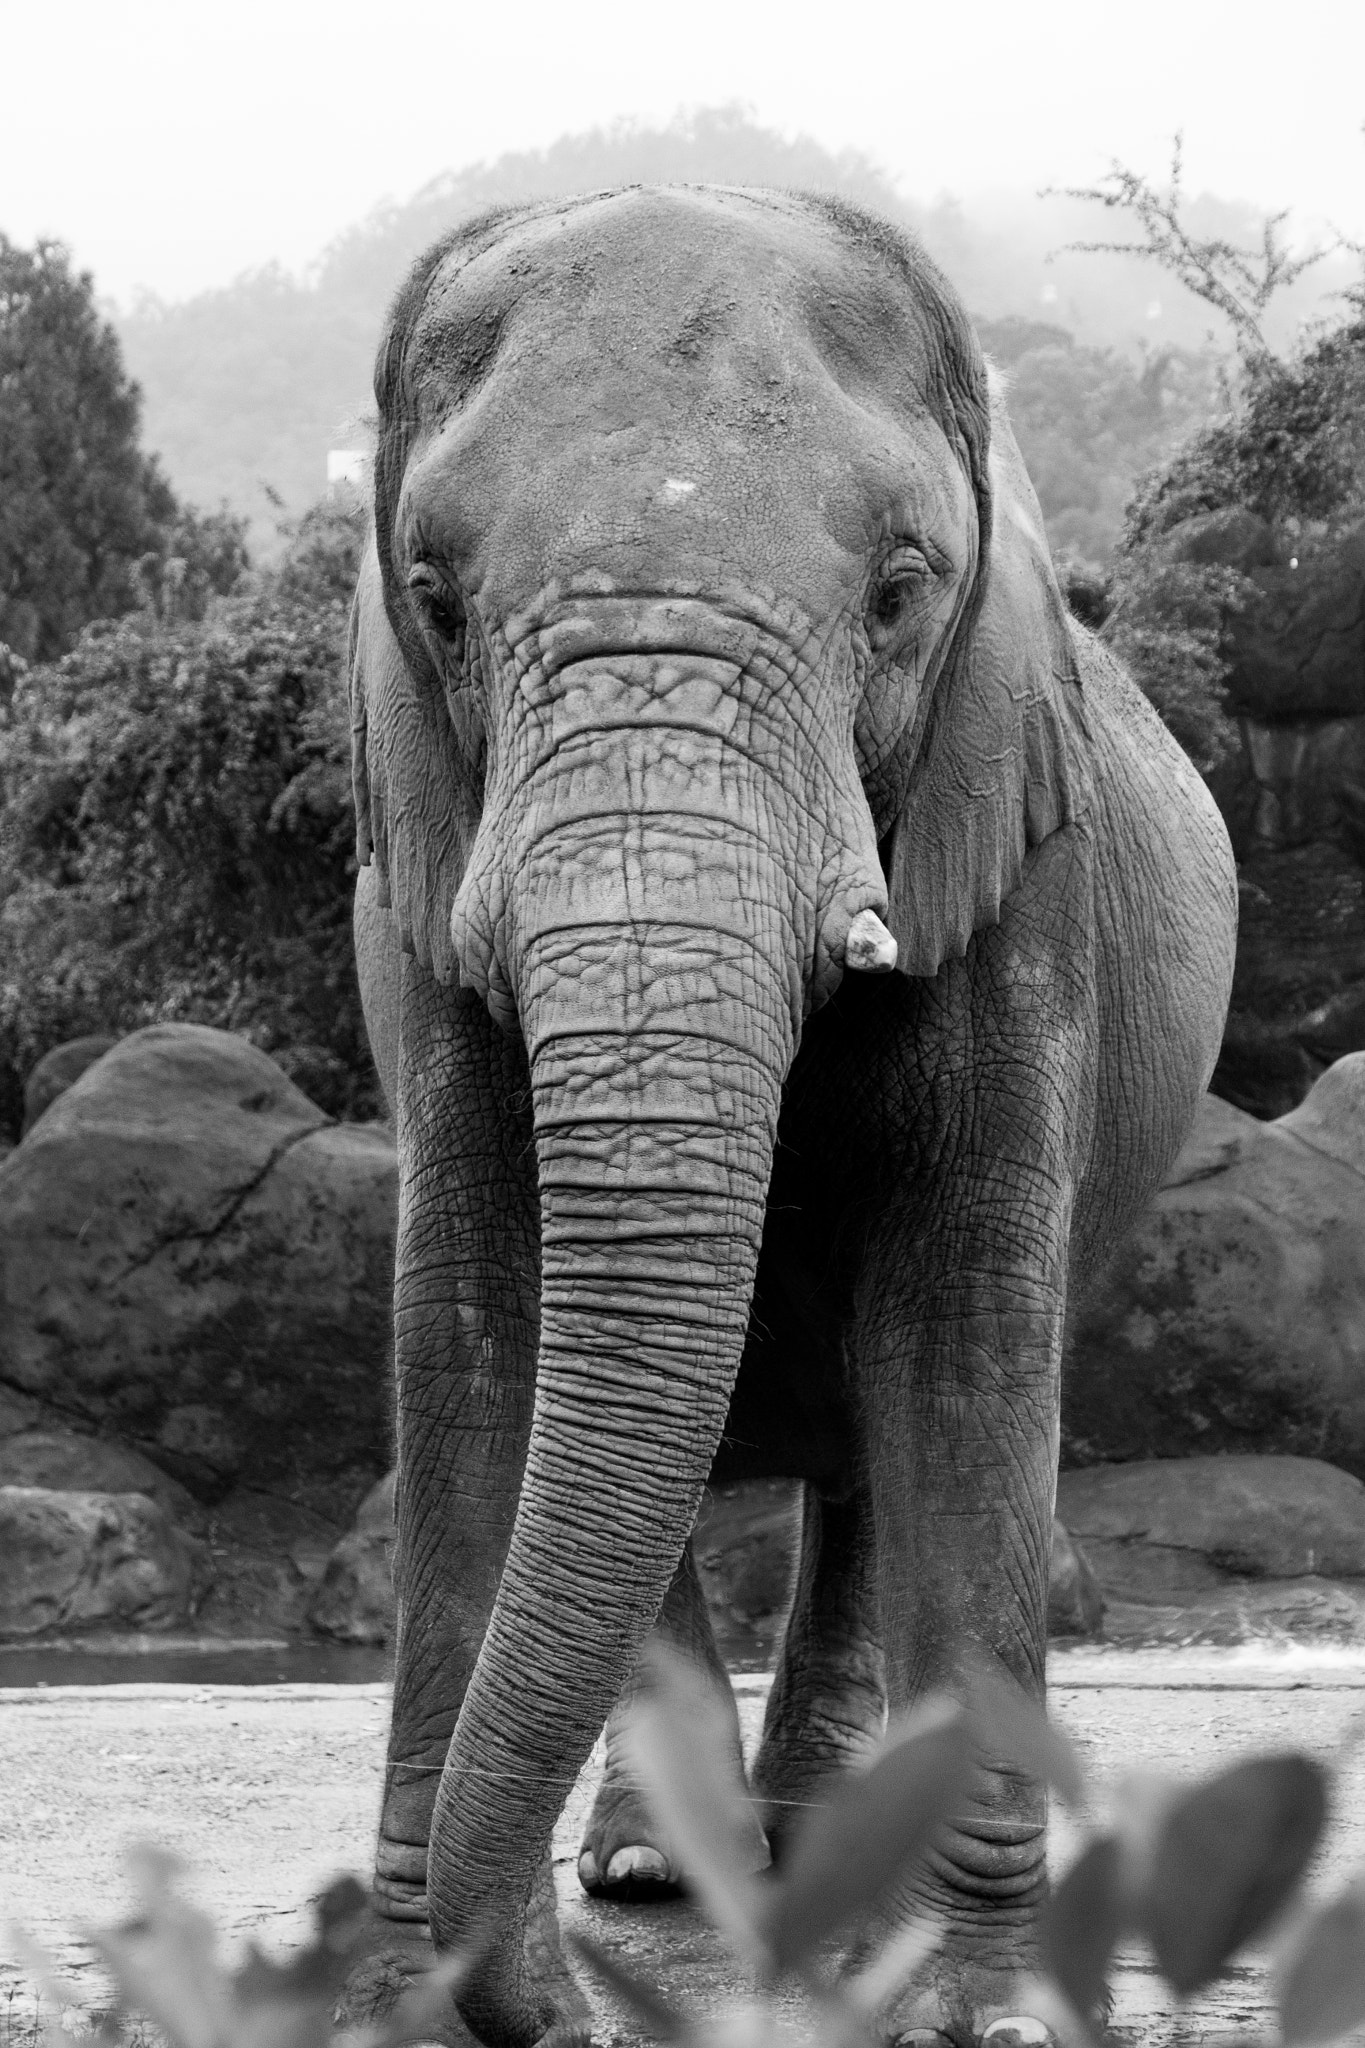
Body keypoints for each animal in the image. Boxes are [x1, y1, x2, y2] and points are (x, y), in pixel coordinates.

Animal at [346, 184, 1237, 2048]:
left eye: (900, 594)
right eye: (436, 602)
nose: (576, 2021)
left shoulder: (1012, 853)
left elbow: (961, 1337)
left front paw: (976, 2012)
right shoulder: (418, 881)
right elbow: (474, 1315)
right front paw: (409, 1996)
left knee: (874, 1458)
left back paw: (814, 1837)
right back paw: (654, 1866)